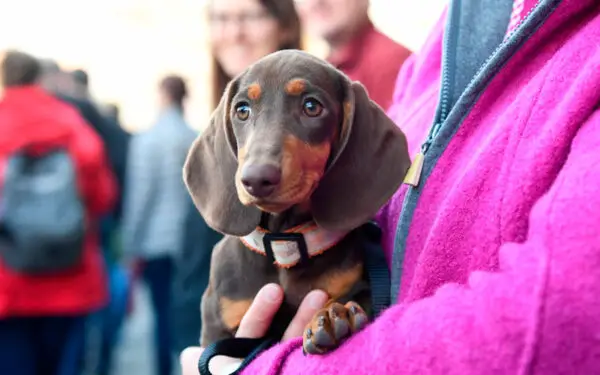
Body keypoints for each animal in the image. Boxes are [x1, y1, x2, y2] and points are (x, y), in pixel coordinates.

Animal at [183, 50, 410, 356]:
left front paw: (334, 315)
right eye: (242, 110)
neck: (284, 245)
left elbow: (358, 298)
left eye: (312, 106)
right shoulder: (218, 327)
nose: (256, 179)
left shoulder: (364, 285)